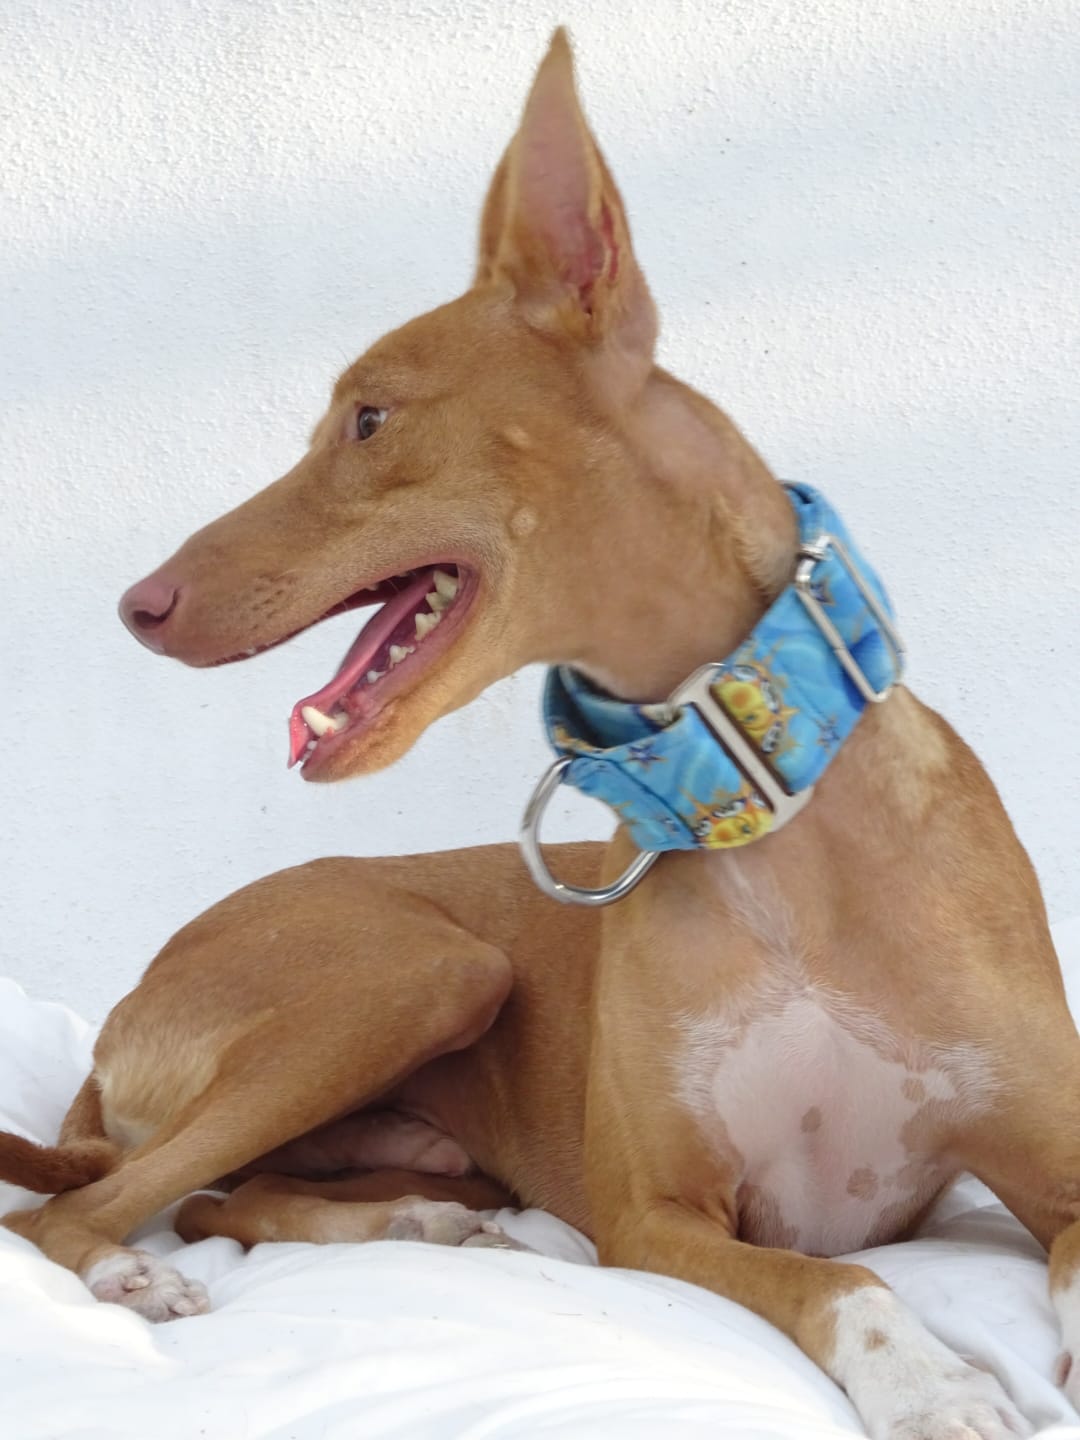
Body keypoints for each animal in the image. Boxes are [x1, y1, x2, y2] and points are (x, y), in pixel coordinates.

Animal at [2, 29, 1073, 1440]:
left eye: (369, 420)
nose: (136, 607)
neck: (769, 818)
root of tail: (126, 1007)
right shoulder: (656, 1217)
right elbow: (841, 1277)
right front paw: (931, 1386)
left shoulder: (1053, 1169)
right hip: (422, 973)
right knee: (92, 1208)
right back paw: (138, 1274)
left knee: (224, 1196)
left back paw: (422, 1224)